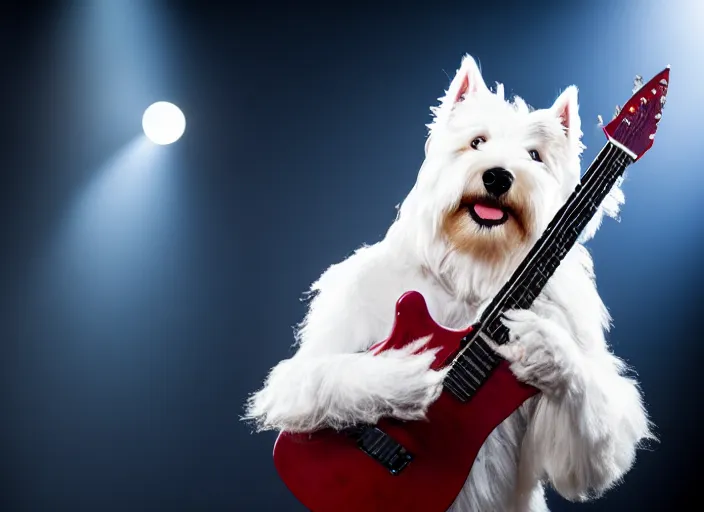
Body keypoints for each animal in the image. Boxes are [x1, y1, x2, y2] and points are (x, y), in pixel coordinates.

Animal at [245, 56, 652, 512]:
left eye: (535, 156)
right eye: (477, 142)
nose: (498, 177)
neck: (475, 268)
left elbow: (590, 457)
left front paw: (549, 350)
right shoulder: (335, 327)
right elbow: (302, 379)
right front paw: (406, 379)